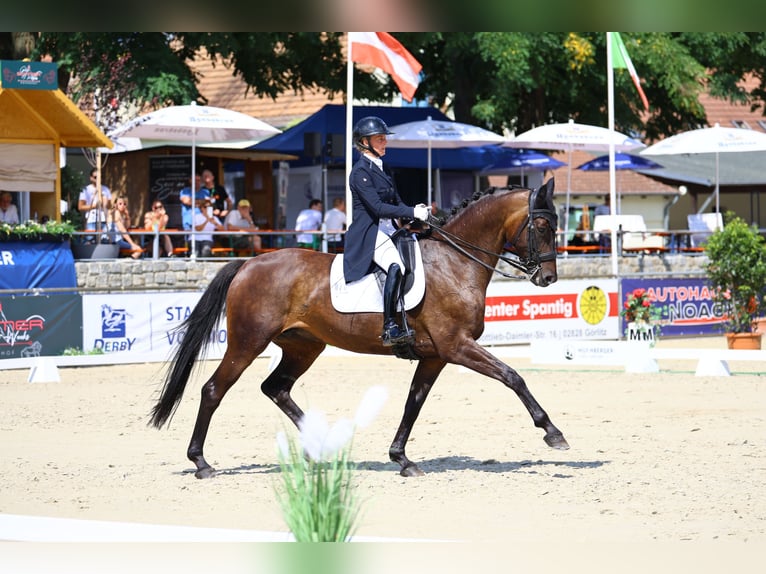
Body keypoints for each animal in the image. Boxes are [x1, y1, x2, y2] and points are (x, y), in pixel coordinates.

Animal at [152, 181, 568, 482]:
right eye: (543, 225)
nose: (547, 278)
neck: (454, 262)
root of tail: (248, 264)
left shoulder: (436, 355)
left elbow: (414, 402)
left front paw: (402, 459)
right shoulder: (457, 346)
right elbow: (512, 377)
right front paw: (552, 432)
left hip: (304, 347)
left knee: (276, 388)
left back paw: (323, 444)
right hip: (247, 342)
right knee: (214, 390)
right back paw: (201, 463)